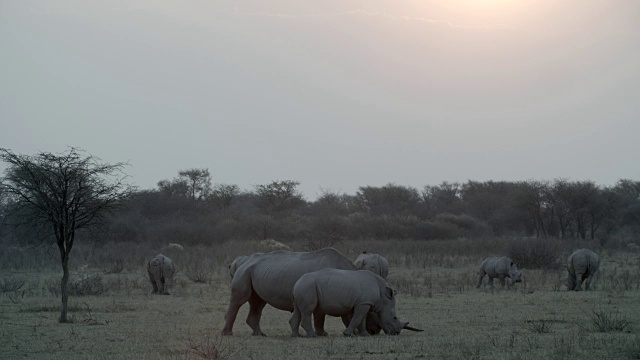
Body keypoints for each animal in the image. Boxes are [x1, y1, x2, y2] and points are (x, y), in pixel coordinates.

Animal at [222, 246, 358, 336]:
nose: (358, 332)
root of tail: (239, 261)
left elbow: (320, 315)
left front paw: (322, 334)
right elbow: (320, 315)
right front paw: (322, 334)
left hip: (254, 271)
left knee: (258, 302)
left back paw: (260, 334)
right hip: (244, 271)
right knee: (240, 300)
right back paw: (228, 334)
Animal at [292, 268, 424, 336]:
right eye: (395, 317)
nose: (396, 333)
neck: (383, 296)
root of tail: (297, 282)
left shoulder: (365, 303)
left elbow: (362, 320)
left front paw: (365, 334)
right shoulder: (364, 303)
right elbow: (357, 318)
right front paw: (347, 334)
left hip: (303, 287)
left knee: (298, 310)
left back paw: (296, 335)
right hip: (308, 286)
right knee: (308, 310)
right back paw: (312, 336)